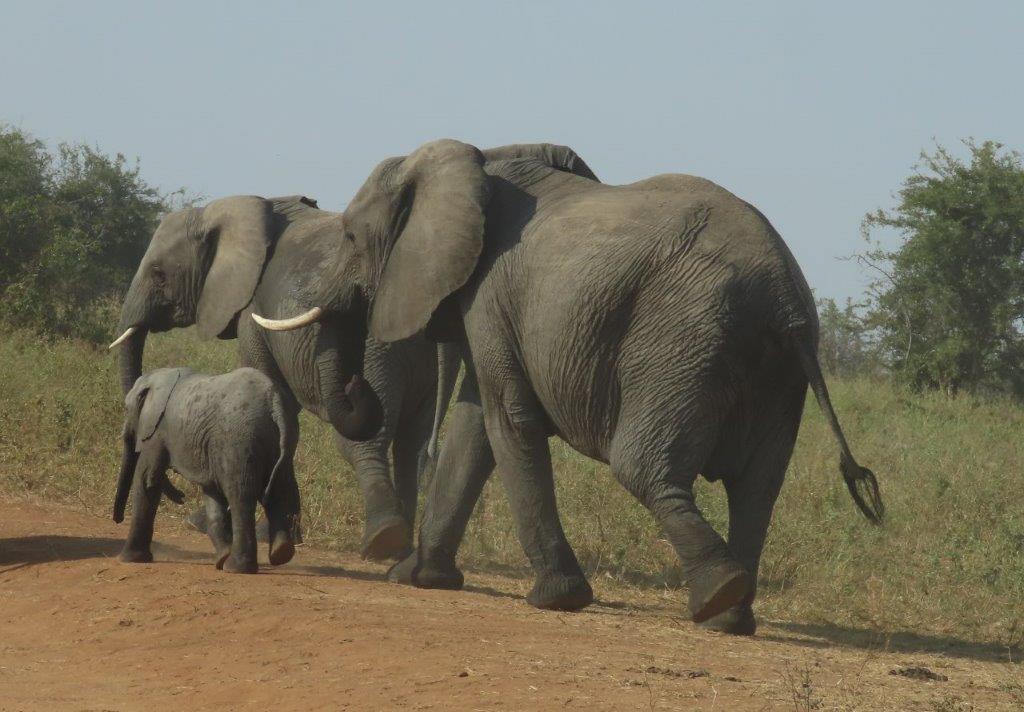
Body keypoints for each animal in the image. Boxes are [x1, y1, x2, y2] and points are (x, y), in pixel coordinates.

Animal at [114, 367, 300, 573]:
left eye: (126, 409)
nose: (181, 497)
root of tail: (275, 404)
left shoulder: (156, 430)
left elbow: (147, 478)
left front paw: (129, 559)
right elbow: (212, 493)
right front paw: (221, 557)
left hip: (238, 441)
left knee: (240, 497)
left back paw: (236, 568)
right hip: (281, 442)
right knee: (282, 490)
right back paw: (280, 553)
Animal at [256, 139, 883, 635]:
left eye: (351, 237)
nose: (360, 390)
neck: (476, 160)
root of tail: (785, 295)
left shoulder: (493, 291)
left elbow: (507, 421)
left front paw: (555, 600)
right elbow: (474, 424)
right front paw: (416, 578)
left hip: (681, 338)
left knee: (643, 466)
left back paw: (716, 597)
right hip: (773, 369)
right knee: (757, 487)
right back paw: (731, 617)